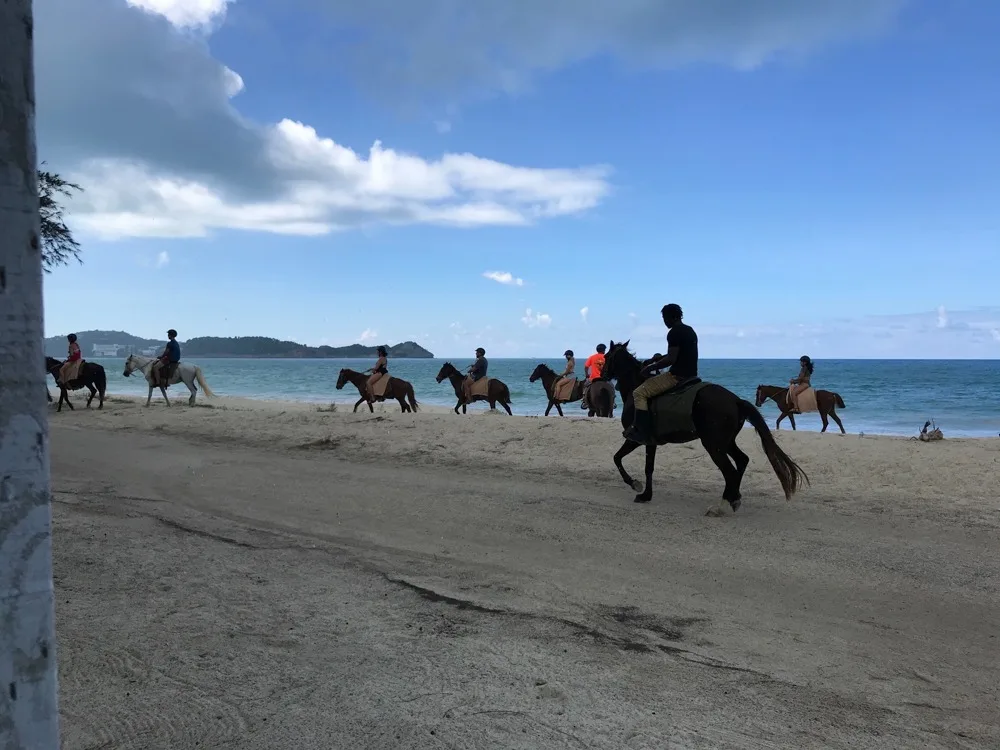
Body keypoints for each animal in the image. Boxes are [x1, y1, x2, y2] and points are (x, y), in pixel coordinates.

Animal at [600, 342, 804, 516]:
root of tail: (736, 400)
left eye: (607, 356)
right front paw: (645, 494)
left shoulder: (637, 439)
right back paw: (734, 498)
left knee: (730, 472)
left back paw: (721, 506)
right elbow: (643, 466)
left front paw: (636, 486)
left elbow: (620, 459)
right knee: (742, 460)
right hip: (725, 442)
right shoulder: (650, 442)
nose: (601, 375)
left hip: (713, 445)